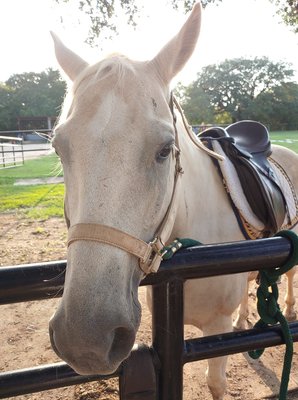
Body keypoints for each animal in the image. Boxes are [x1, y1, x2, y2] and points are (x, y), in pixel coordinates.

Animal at [50, 3, 296, 400]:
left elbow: (216, 384)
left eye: (165, 150)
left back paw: (286, 309)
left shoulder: (215, 332)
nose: (85, 338)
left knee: (288, 275)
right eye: (59, 147)